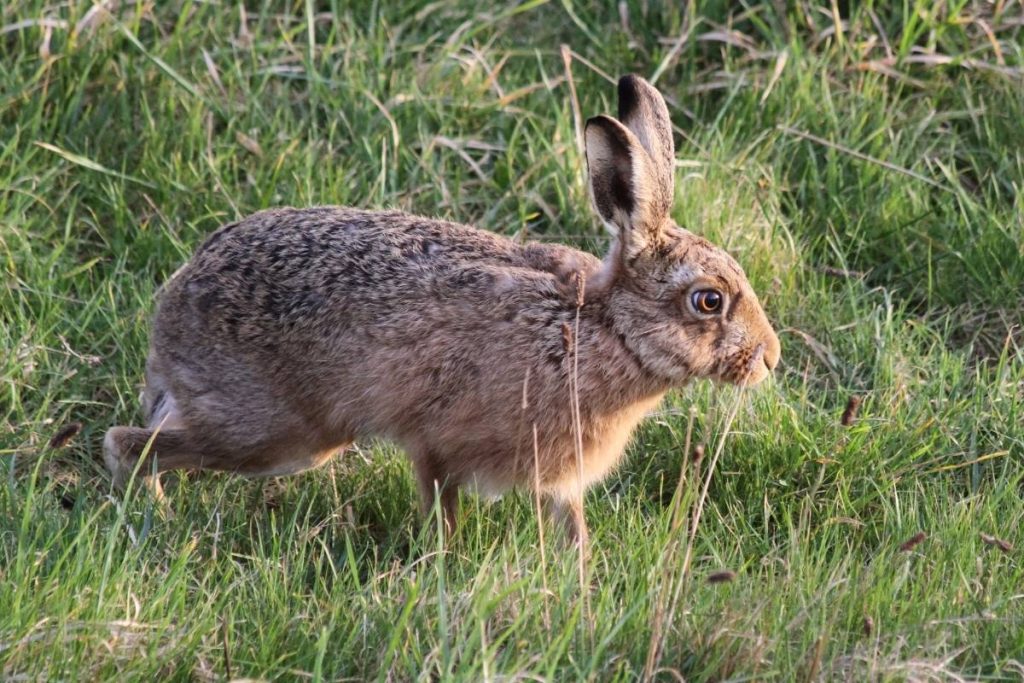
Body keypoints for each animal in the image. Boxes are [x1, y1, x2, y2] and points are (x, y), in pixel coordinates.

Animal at [103, 75, 780, 546]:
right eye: (709, 300)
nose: (770, 359)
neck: (599, 326)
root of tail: (172, 311)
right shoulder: (437, 443)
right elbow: (442, 512)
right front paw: (443, 570)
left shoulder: (560, 479)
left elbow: (573, 530)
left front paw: (584, 587)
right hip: (274, 435)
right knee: (128, 444)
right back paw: (154, 516)